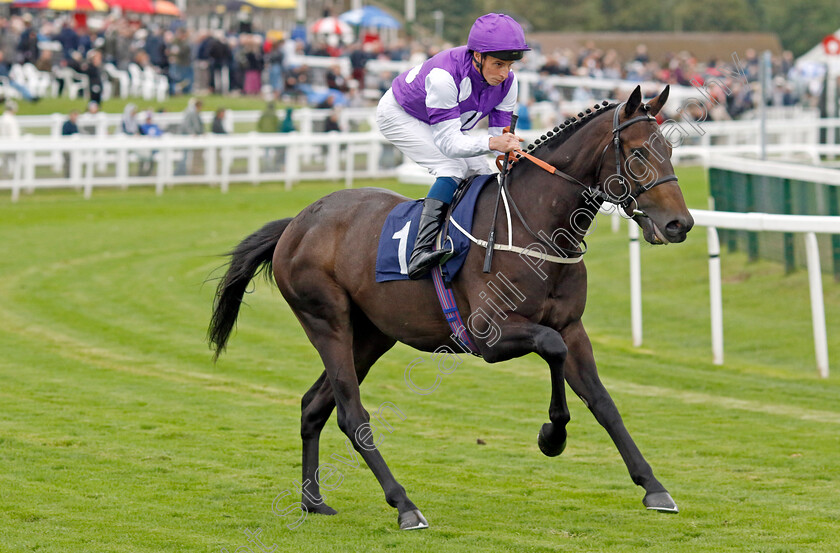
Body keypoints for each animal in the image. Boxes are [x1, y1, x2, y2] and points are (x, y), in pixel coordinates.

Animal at [207, 84, 692, 528]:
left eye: (669, 149)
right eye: (637, 153)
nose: (680, 224)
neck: (536, 228)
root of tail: (297, 223)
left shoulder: (573, 326)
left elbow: (602, 400)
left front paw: (653, 486)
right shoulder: (488, 335)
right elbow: (551, 348)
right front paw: (552, 435)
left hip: (372, 336)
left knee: (314, 405)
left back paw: (313, 500)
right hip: (327, 322)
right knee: (351, 413)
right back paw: (404, 505)